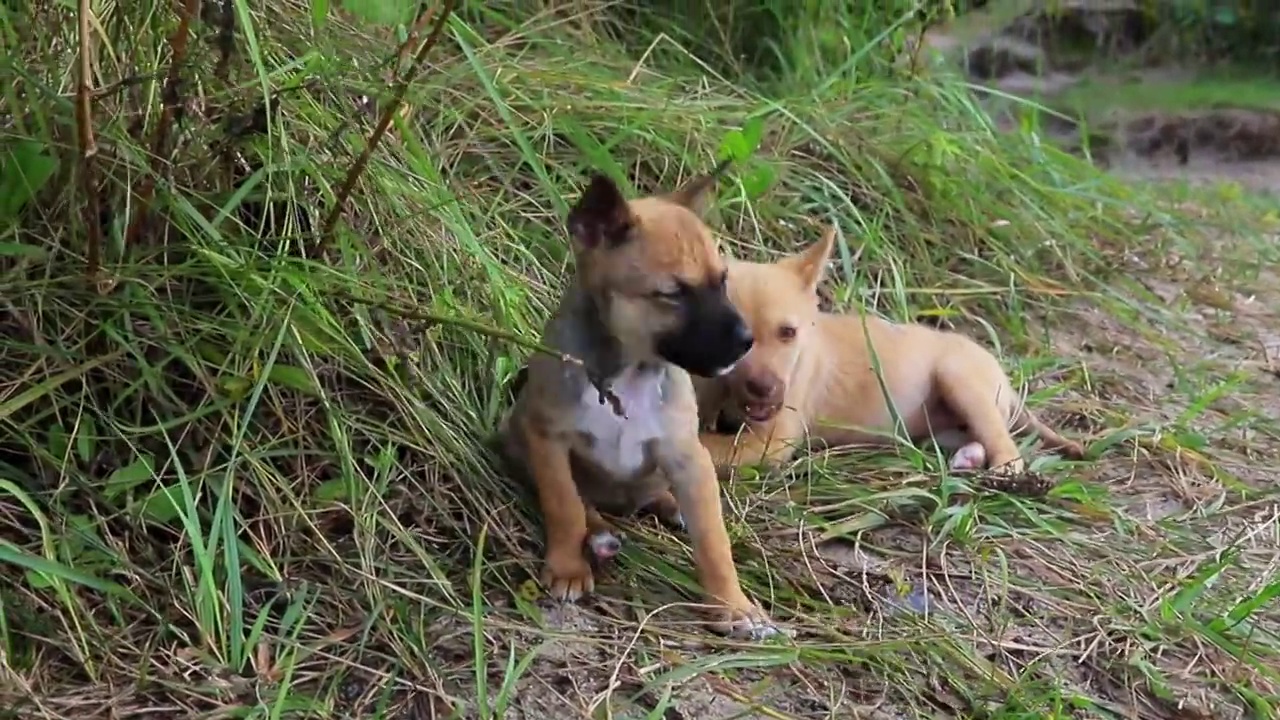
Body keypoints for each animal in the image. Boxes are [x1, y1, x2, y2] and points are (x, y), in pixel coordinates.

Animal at [496, 165, 778, 635]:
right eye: (674, 294)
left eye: (722, 281)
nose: (746, 342)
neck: (629, 372)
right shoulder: (548, 441)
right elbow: (564, 504)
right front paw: (568, 565)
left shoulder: (686, 454)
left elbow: (713, 540)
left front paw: (732, 605)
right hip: (516, 439)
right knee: (584, 505)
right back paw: (600, 536)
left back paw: (669, 506)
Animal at [696, 224, 1085, 471]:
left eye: (788, 333)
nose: (766, 389)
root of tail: (1004, 379)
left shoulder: (770, 442)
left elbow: (706, 445)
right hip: (943, 428)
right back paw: (970, 457)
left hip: (961, 380)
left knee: (1006, 447)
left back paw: (1002, 469)